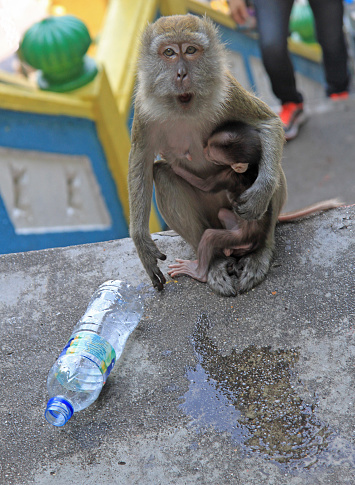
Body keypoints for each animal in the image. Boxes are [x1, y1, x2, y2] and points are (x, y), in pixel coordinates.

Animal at [128, 14, 286, 294]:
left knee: (272, 165)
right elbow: (142, 160)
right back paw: (212, 264)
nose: (182, 73)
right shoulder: (143, 107)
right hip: (214, 217)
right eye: (169, 52)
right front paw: (141, 242)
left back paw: (260, 251)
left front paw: (260, 193)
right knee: (164, 177)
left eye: (191, 50)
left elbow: (268, 123)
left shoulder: (228, 90)